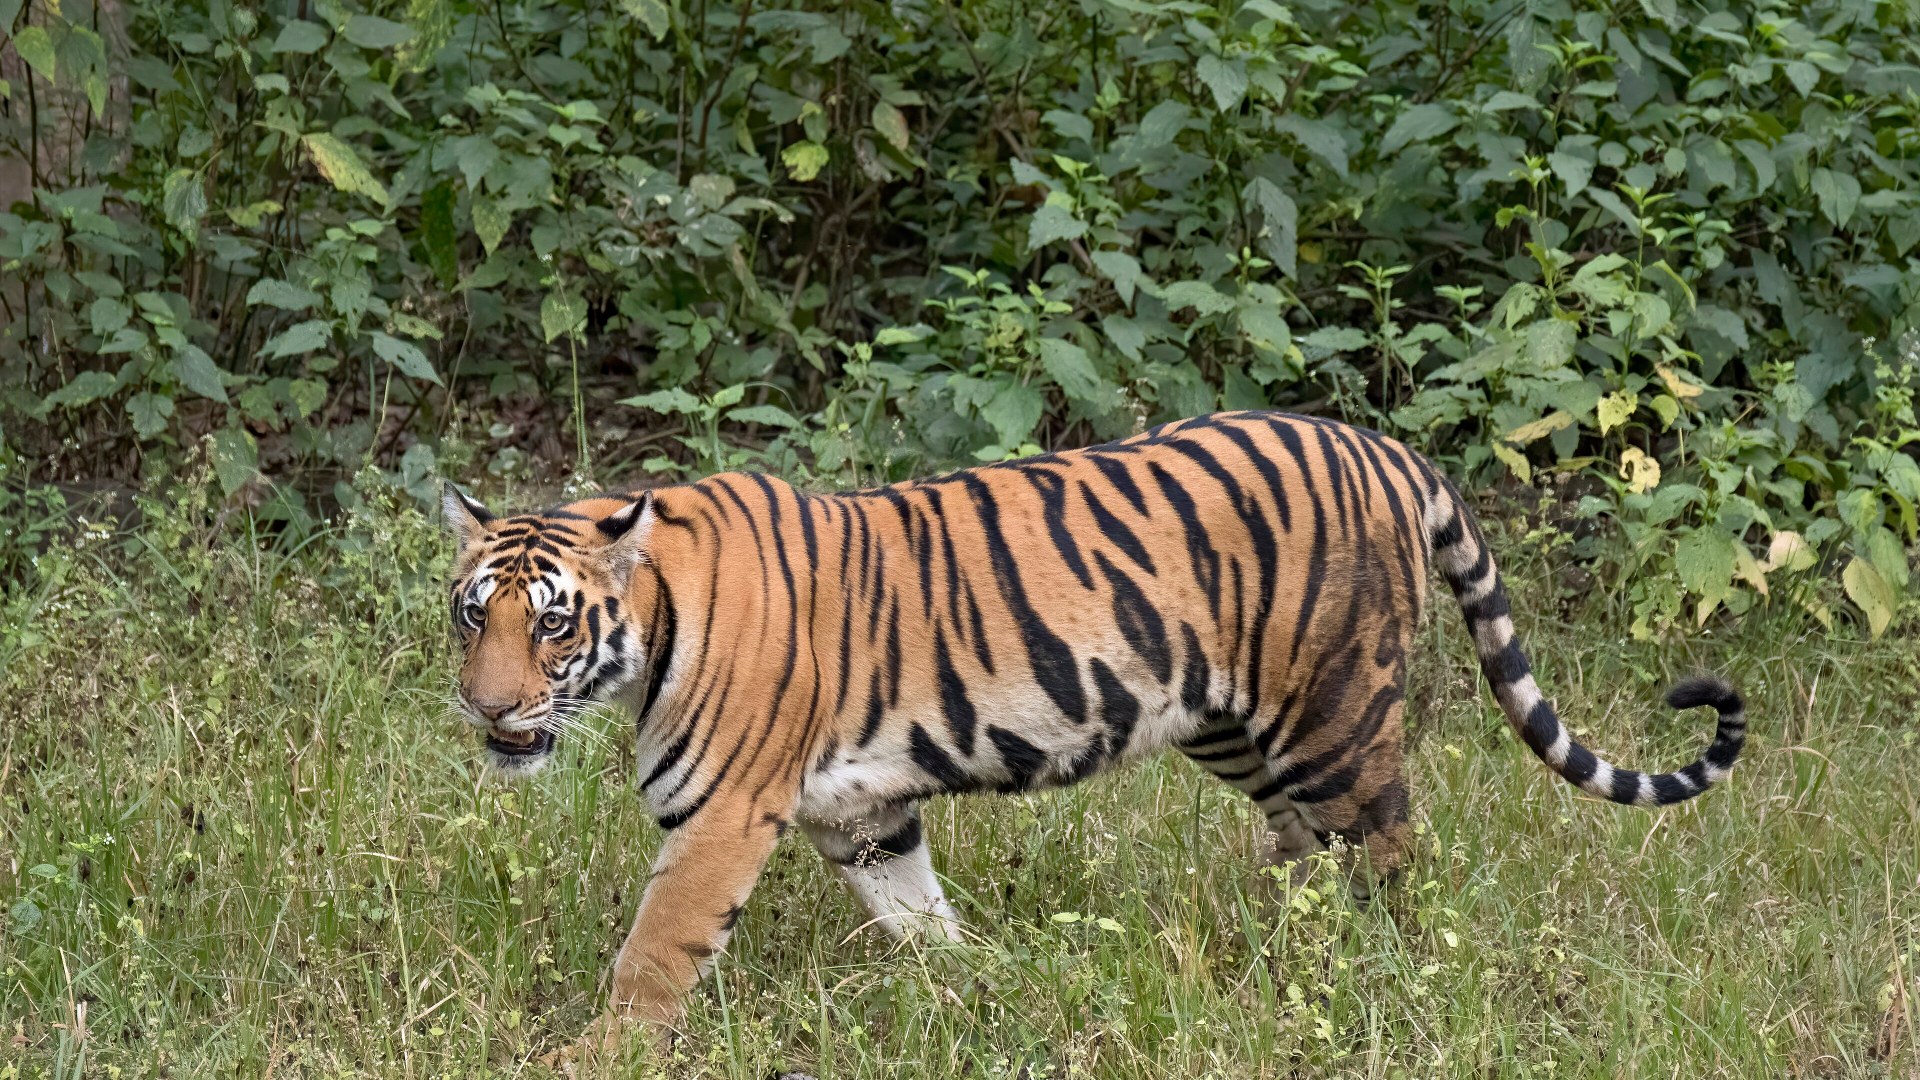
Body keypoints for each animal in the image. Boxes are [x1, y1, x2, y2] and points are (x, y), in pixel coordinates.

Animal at [440, 410, 1745, 1058]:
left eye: (553, 623)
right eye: (471, 613)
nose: (489, 709)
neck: (650, 629)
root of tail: (1388, 447)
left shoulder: (720, 816)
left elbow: (655, 951)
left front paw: (598, 1054)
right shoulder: (865, 814)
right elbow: (920, 917)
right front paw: (975, 991)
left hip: (1333, 713)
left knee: (1391, 853)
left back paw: (1395, 979)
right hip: (1230, 723)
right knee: (1303, 849)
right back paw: (1270, 954)